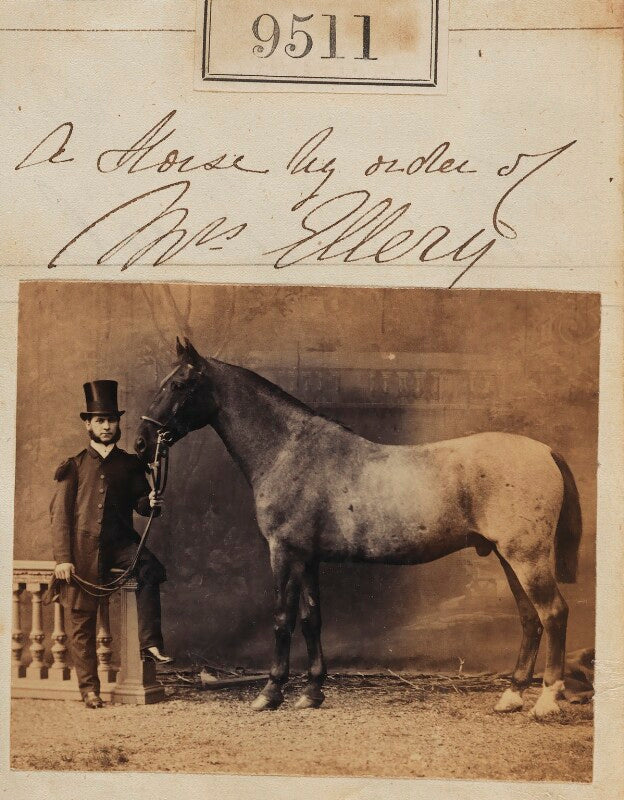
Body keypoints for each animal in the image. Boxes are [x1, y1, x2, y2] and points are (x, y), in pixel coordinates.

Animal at [135, 338, 582, 718]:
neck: (288, 451)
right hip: (509, 558)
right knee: (530, 618)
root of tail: (545, 451)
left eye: (179, 384)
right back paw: (512, 696)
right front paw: (312, 693)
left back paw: (546, 700)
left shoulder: (284, 552)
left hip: (526, 557)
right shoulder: (308, 557)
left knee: (554, 613)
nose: (141, 441)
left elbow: (282, 617)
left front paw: (270, 693)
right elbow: (311, 618)